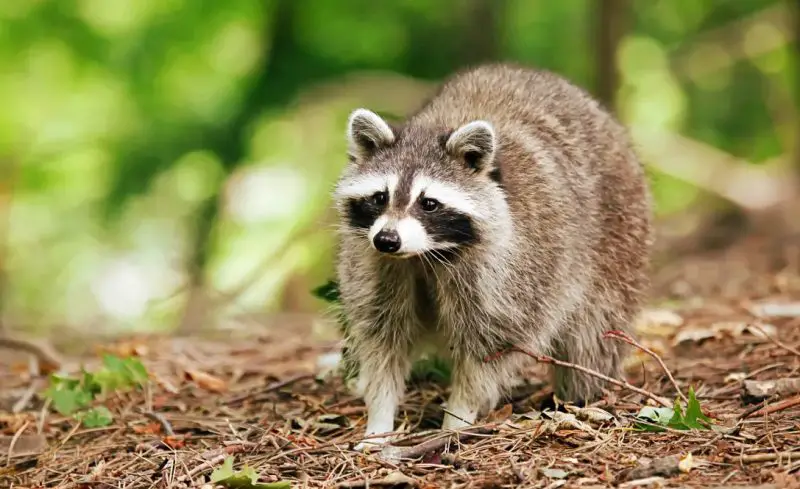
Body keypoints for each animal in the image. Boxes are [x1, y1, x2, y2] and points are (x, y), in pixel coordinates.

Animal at [331, 63, 652, 449]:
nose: (387, 240)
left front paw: (456, 418)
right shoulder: (377, 266)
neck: (424, 256)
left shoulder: (512, 272)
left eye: (429, 203)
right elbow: (383, 340)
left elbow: (489, 349)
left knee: (593, 337)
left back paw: (583, 397)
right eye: (380, 197)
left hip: (620, 241)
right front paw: (379, 421)